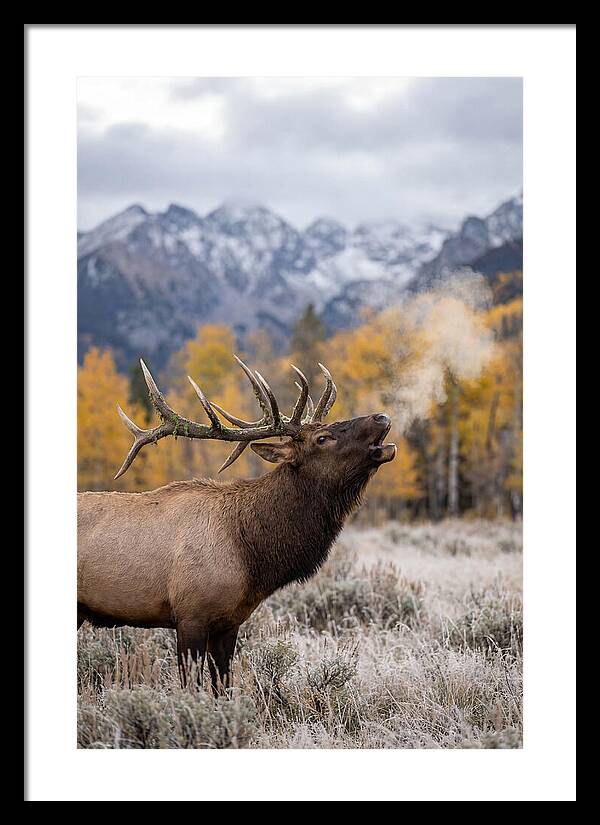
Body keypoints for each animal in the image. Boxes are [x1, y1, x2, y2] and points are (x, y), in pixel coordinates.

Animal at [77, 356, 396, 693]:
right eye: (322, 438)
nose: (381, 417)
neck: (250, 555)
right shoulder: (190, 615)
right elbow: (191, 688)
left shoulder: (229, 622)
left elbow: (224, 686)